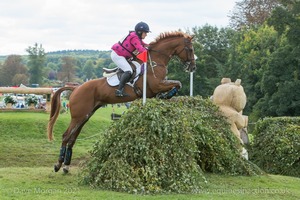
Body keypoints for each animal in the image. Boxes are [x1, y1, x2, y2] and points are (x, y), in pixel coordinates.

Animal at [47, 30, 196, 172]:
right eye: (190, 49)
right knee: (66, 136)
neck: (155, 61)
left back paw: (66, 166)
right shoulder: (157, 85)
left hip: (85, 116)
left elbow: (177, 84)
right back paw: (58, 164)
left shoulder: (154, 91)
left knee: (72, 138)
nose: (193, 67)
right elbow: (177, 84)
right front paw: (167, 95)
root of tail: (76, 88)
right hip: (79, 116)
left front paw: (165, 96)